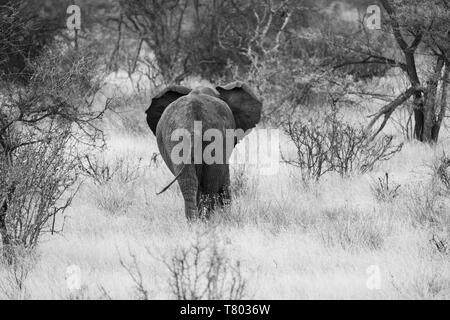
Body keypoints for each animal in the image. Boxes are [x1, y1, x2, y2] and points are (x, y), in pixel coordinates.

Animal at [146, 81, 262, 220]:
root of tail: (192, 121)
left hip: (177, 139)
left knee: (190, 183)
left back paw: (195, 221)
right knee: (209, 183)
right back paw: (207, 219)